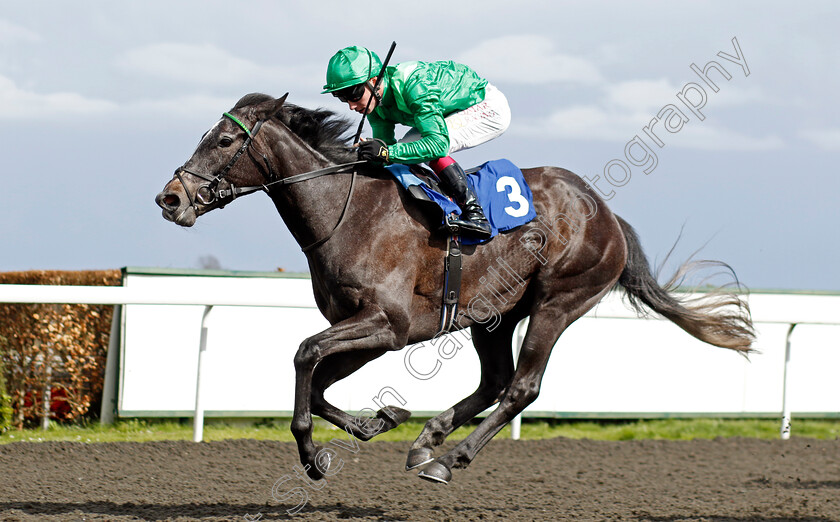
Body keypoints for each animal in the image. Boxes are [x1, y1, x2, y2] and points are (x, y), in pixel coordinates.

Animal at [156, 93, 756, 484]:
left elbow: (305, 358)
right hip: (495, 314)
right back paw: (427, 441)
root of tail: (606, 213)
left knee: (522, 388)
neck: (347, 212)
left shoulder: (388, 325)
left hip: (557, 303)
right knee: (494, 381)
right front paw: (378, 421)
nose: (170, 198)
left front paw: (314, 457)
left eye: (225, 140)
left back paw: (448, 460)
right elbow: (320, 381)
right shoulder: (363, 329)